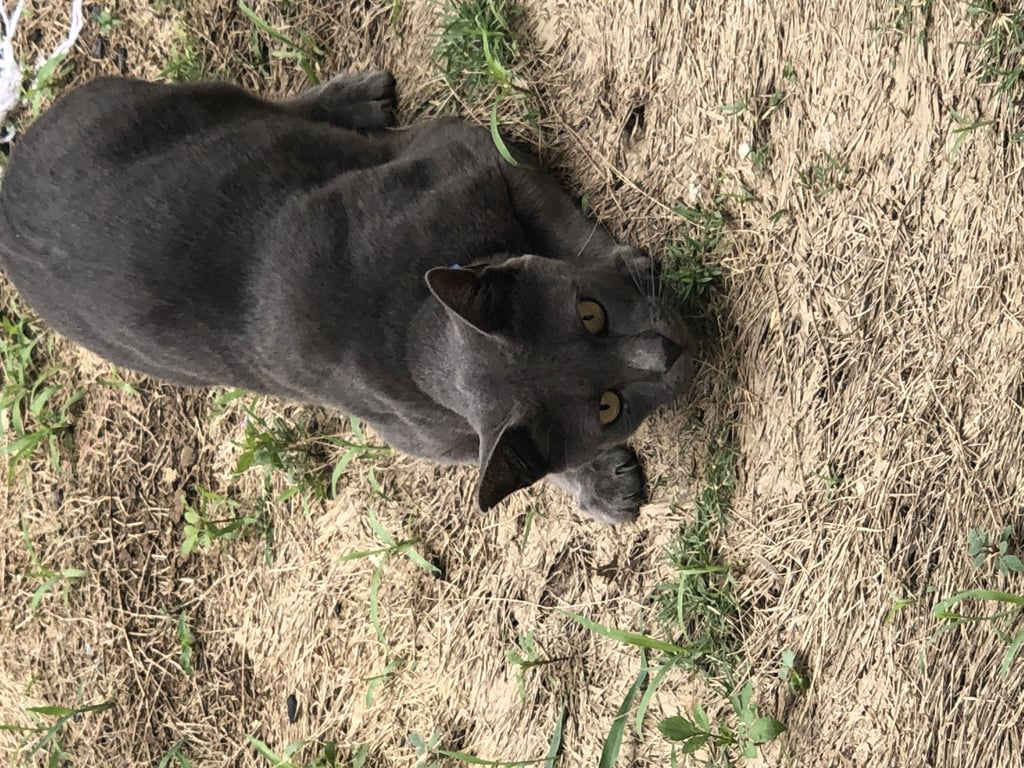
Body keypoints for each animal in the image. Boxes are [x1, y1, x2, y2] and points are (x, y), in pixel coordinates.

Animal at [0, 71, 695, 524]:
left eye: (590, 312)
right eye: (608, 409)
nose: (667, 352)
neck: (415, 334)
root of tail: (12, 178)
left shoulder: (474, 152)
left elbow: (563, 221)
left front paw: (626, 260)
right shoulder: (440, 440)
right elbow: (532, 464)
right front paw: (601, 488)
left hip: (191, 101)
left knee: (269, 104)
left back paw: (359, 95)